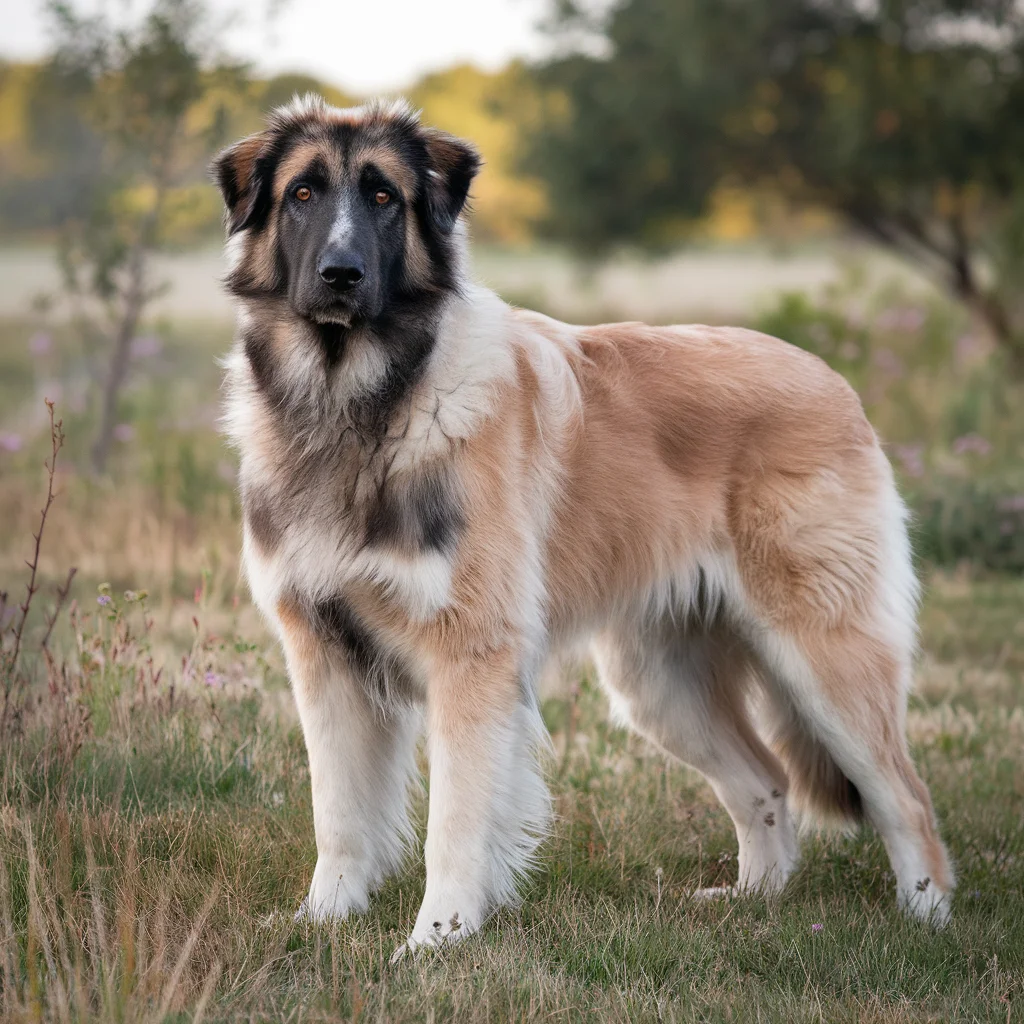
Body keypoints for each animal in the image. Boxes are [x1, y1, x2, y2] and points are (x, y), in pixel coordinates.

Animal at [214, 96, 950, 958]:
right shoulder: (324, 654)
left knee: (906, 795)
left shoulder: (472, 660)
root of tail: (834, 381)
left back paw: (929, 919)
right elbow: (338, 816)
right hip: (661, 682)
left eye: (384, 197)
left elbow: (454, 824)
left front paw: (438, 938)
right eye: (302, 194)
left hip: (822, 657)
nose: (341, 275)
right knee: (767, 781)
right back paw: (752, 901)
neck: (360, 405)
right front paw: (324, 919)